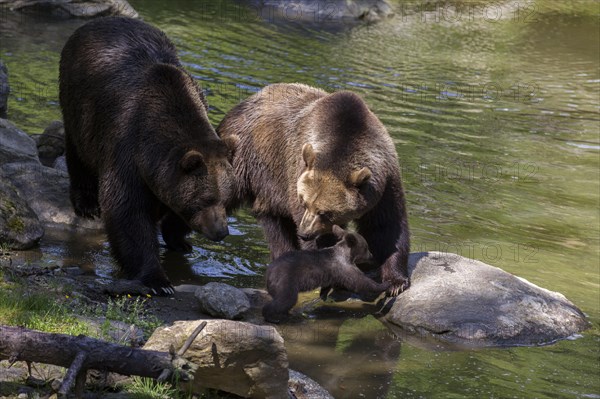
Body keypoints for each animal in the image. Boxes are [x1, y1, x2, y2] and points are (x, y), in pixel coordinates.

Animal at [58, 17, 237, 296]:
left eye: (226, 199)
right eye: (206, 198)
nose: (221, 231)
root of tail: (99, 21)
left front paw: (179, 240)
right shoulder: (127, 149)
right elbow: (128, 212)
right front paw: (158, 280)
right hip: (79, 103)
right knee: (78, 151)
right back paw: (86, 203)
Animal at [218, 83, 410, 296]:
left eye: (325, 212)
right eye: (304, 202)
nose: (304, 233)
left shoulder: (385, 182)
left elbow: (387, 227)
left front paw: (396, 282)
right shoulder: (295, 173)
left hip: (269, 189)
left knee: (275, 226)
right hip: (243, 157)